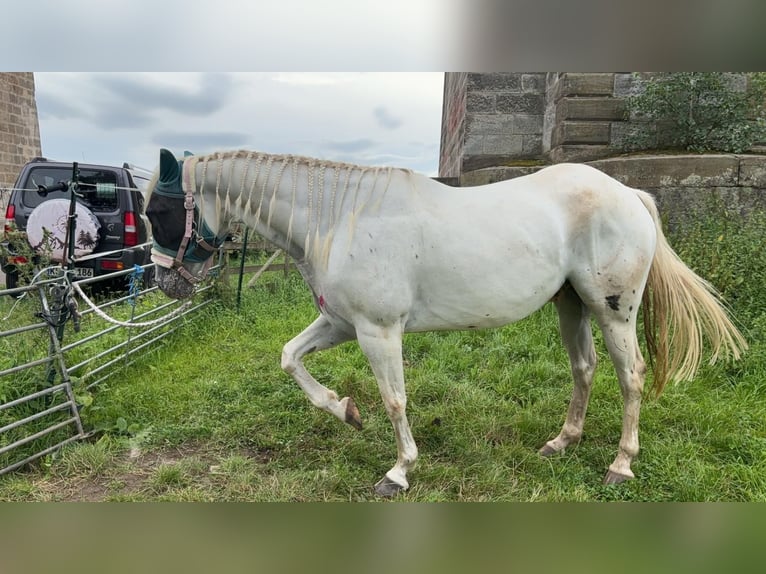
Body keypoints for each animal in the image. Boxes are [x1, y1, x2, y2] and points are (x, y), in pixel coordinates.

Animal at [147, 150, 748, 500]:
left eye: (158, 212)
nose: (164, 283)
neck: (341, 218)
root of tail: (630, 194)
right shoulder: (340, 324)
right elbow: (289, 357)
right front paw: (345, 410)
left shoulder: (378, 331)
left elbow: (395, 400)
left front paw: (398, 472)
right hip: (570, 304)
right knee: (585, 367)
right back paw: (562, 442)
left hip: (611, 309)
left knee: (631, 376)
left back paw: (621, 465)